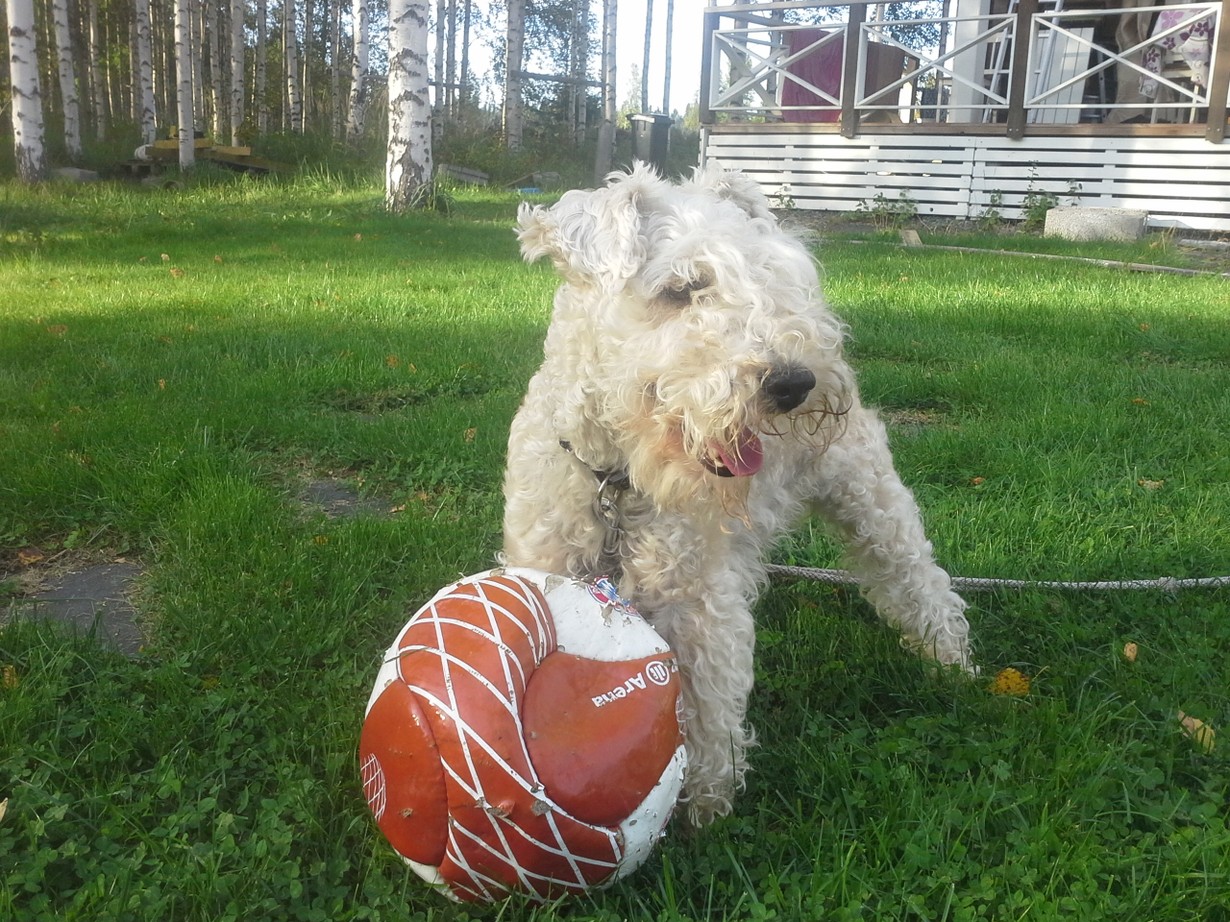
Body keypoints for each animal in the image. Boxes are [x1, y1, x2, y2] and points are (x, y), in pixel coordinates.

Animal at [502, 165, 973, 825]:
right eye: (681, 288)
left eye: (773, 274)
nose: (794, 383)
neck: (614, 480)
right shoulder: (545, 565)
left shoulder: (698, 600)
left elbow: (706, 708)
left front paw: (704, 807)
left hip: (871, 499)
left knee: (917, 580)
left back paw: (952, 662)